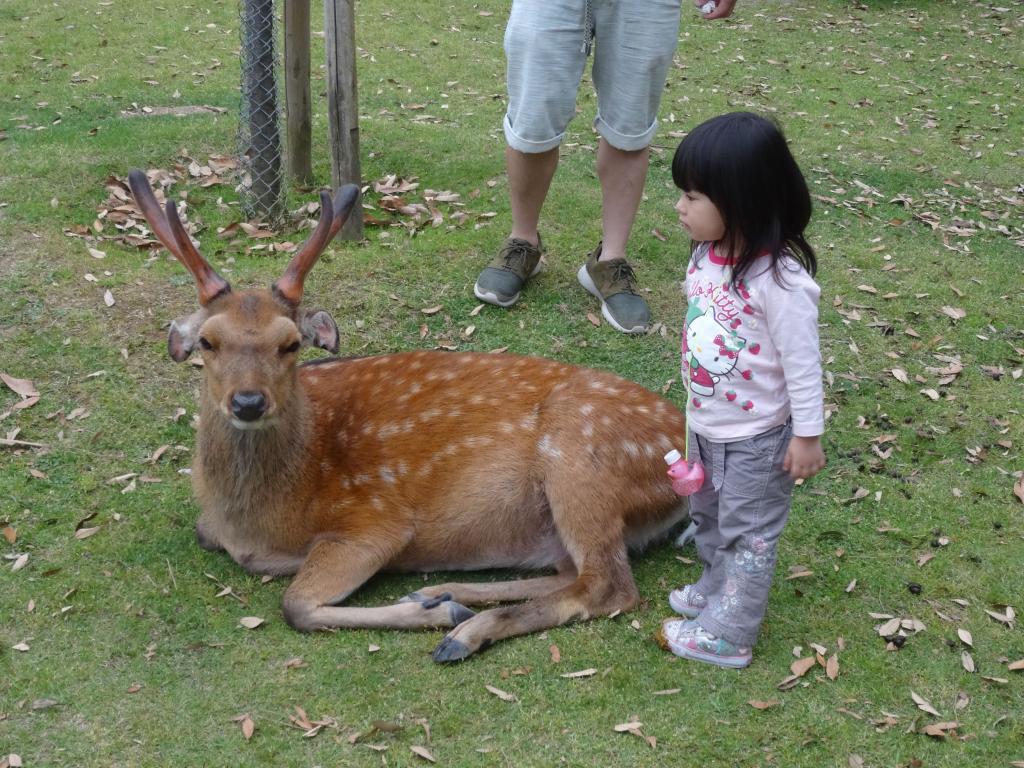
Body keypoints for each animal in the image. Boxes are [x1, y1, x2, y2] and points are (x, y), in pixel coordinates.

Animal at [128, 171, 688, 663]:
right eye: (207, 341)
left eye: (289, 344)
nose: (248, 402)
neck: (253, 521)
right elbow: (209, 537)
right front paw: (435, 605)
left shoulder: (374, 522)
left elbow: (296, 605)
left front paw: (437, 618)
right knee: (570, 570)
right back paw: (442, 590)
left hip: (581, 457)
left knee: (608, 584)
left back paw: (462, 629)